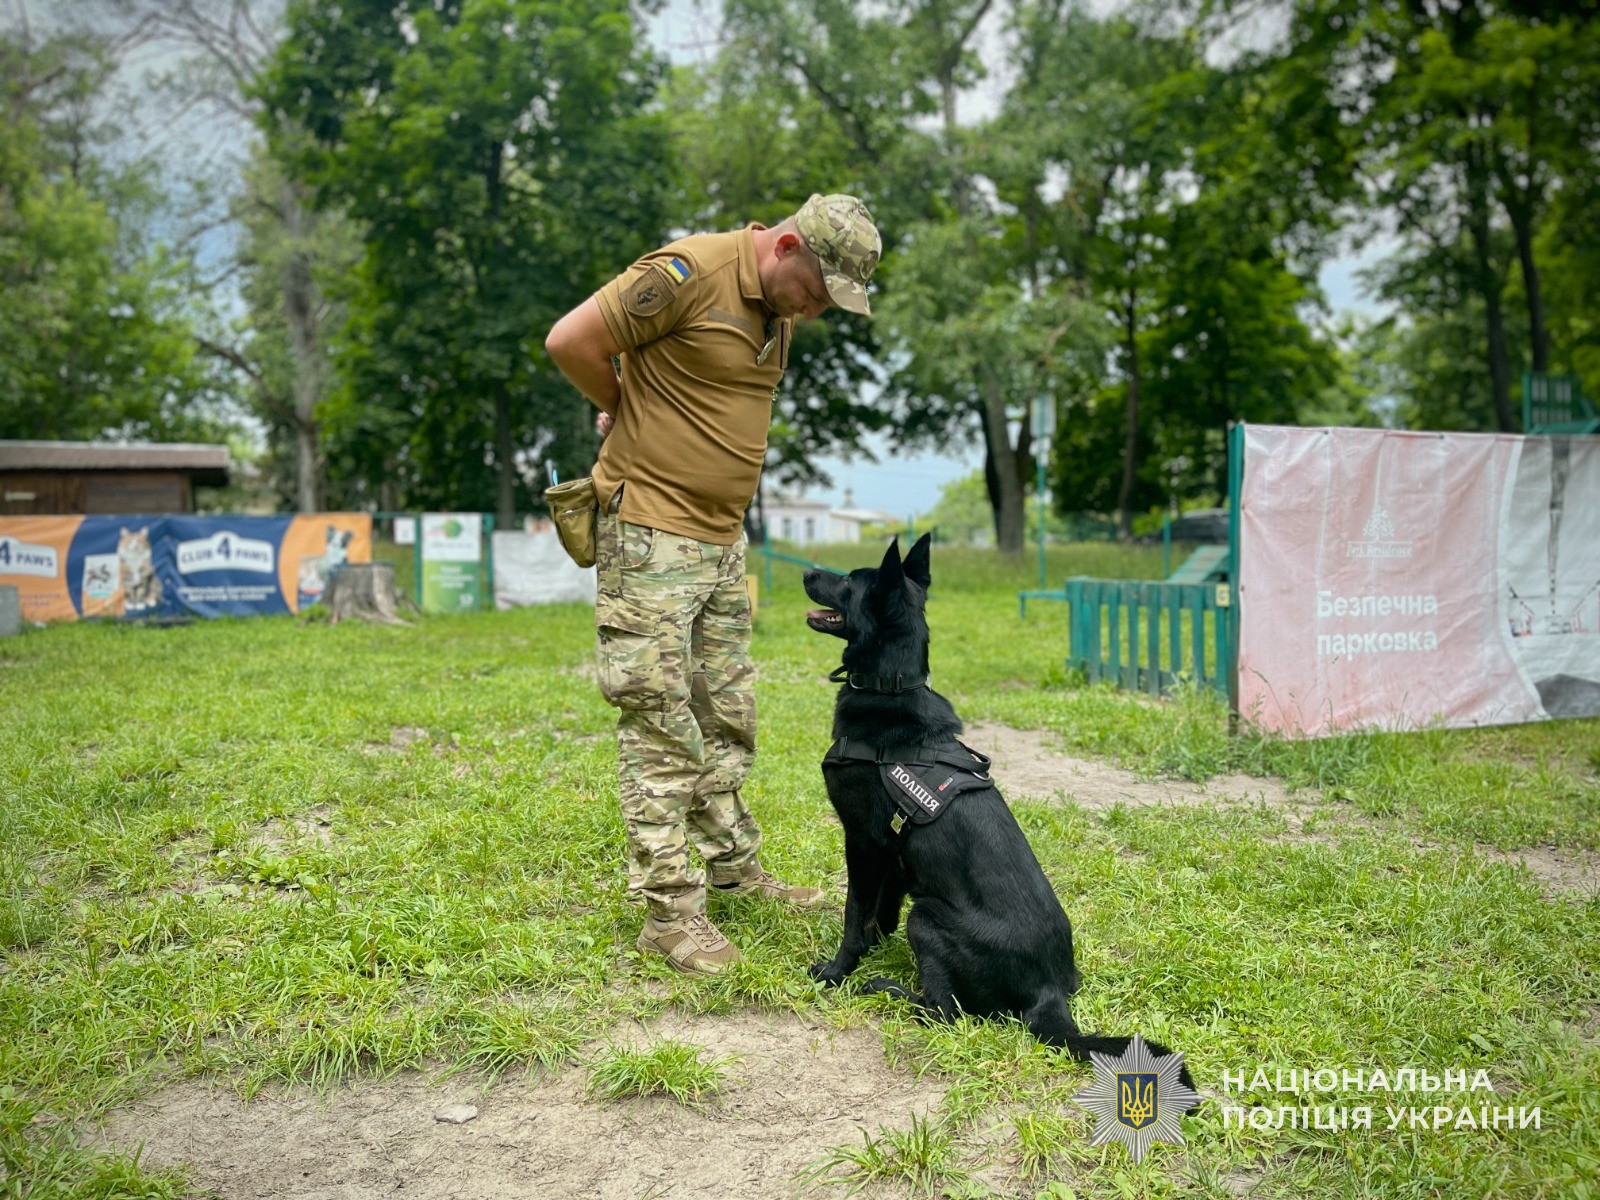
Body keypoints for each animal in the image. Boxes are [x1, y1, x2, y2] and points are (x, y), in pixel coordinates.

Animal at [803, 535, 1195, 1088]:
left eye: (847, 580)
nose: (806, 573)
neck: (891, 687)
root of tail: (1049, 989)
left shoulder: (862, 842)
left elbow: (854, 914)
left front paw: (838, 971)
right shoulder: (895, 853)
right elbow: (879, 911)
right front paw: (871, 946)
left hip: (928, 918)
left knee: (946, 1013)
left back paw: (890, 992)